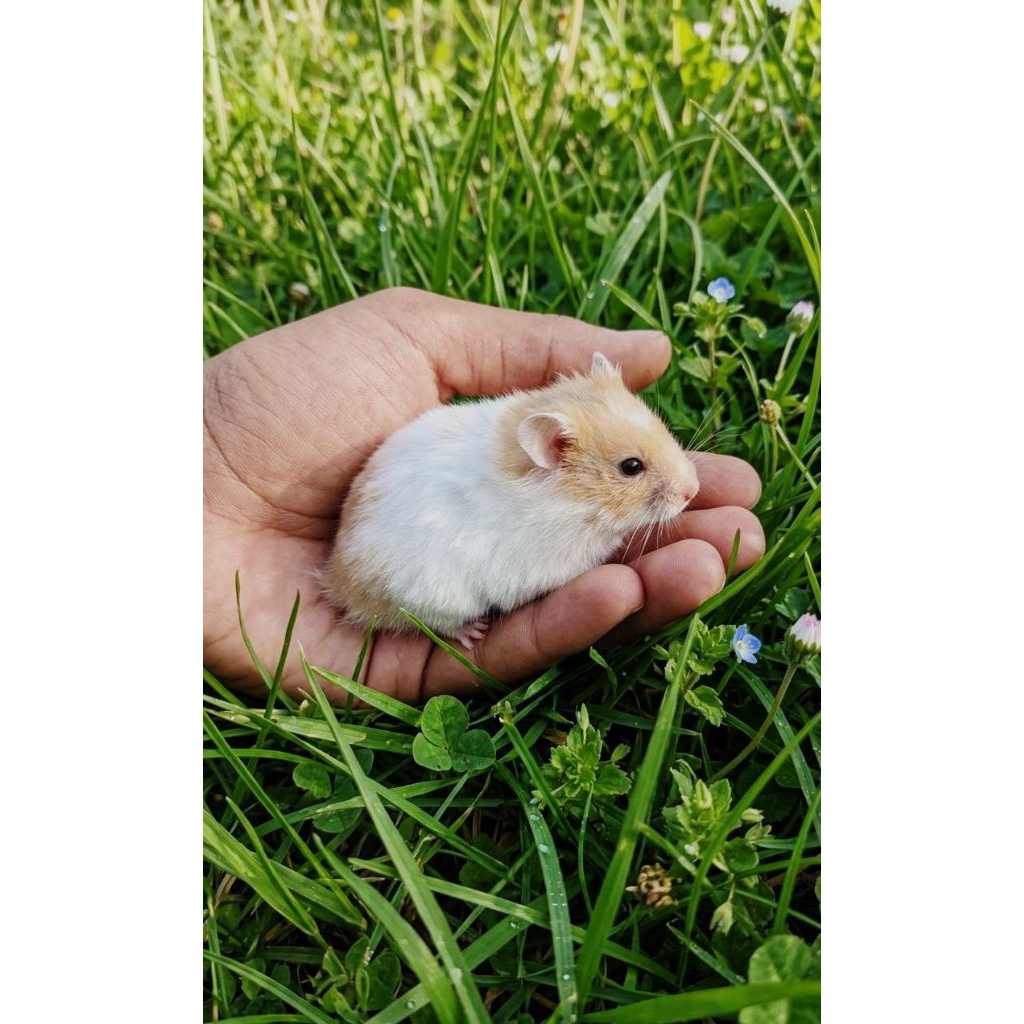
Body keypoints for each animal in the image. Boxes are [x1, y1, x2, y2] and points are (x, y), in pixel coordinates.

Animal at [320, 352, 699, 649]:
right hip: (429, 596)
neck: (572, 504)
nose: (693, 489)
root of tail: (337, 578)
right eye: (631, 467)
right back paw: (473, 632)